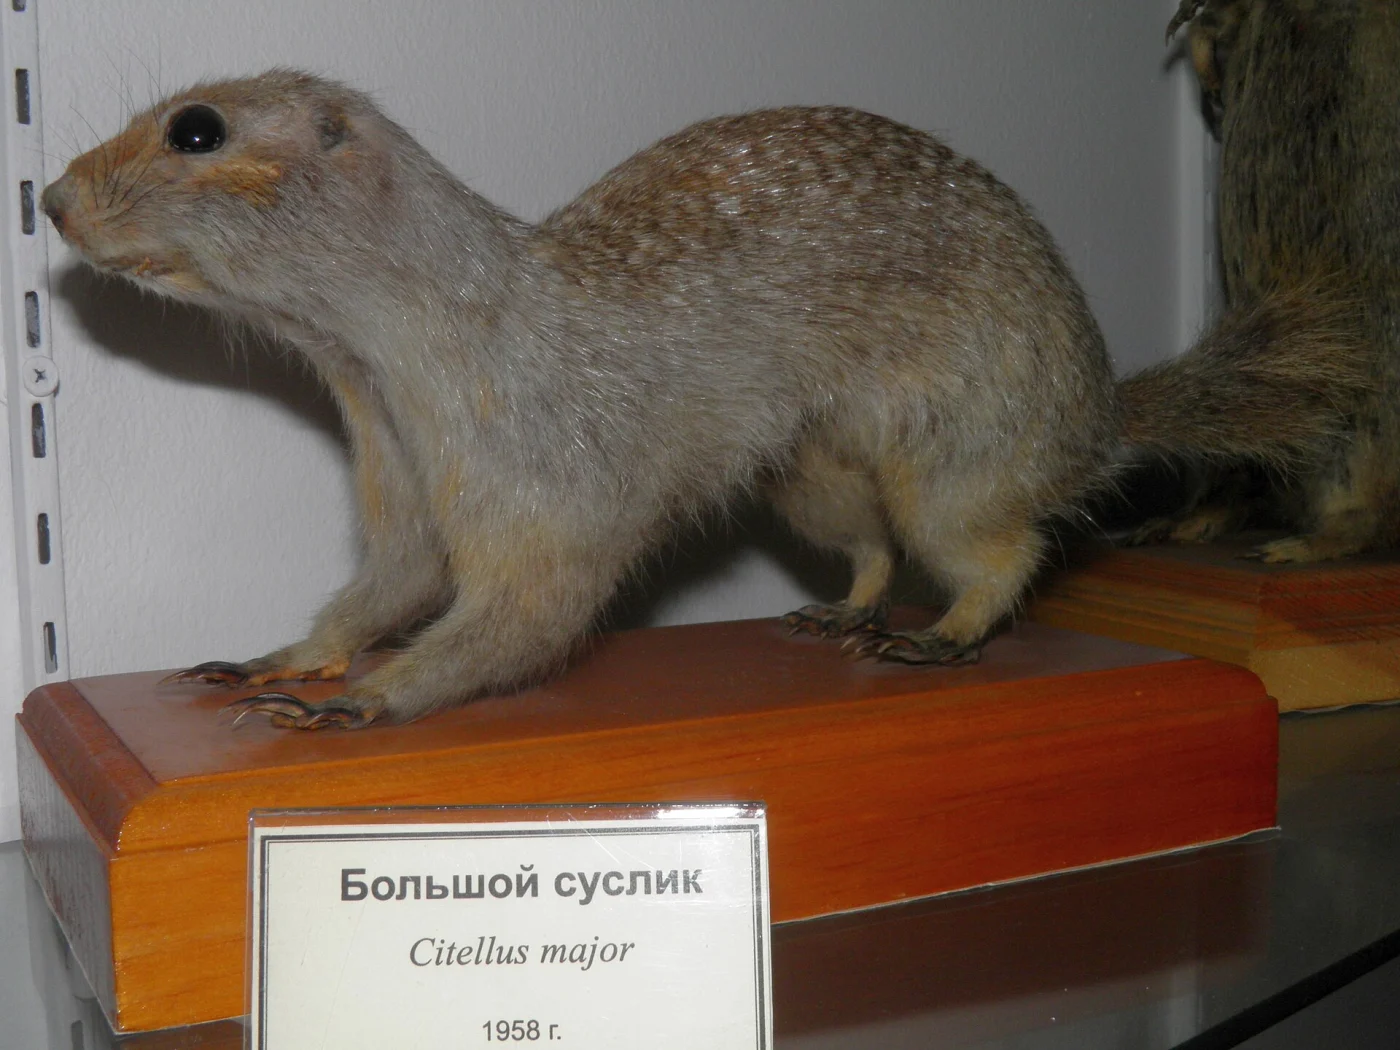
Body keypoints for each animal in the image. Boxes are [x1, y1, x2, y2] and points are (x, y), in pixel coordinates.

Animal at [41, 70, 1369, 728]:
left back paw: (937, 638)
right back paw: (841, 615)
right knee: (872, 549)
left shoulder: (541, 479)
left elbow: (522, 615)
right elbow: (383, 588)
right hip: (812, 474)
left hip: (955, 449)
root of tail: (1093, 416)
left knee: (998, 551)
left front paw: (368, 699)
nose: (48, 198)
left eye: (196, 129)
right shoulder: (402, 485)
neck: (387, 369)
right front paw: (276, 659)